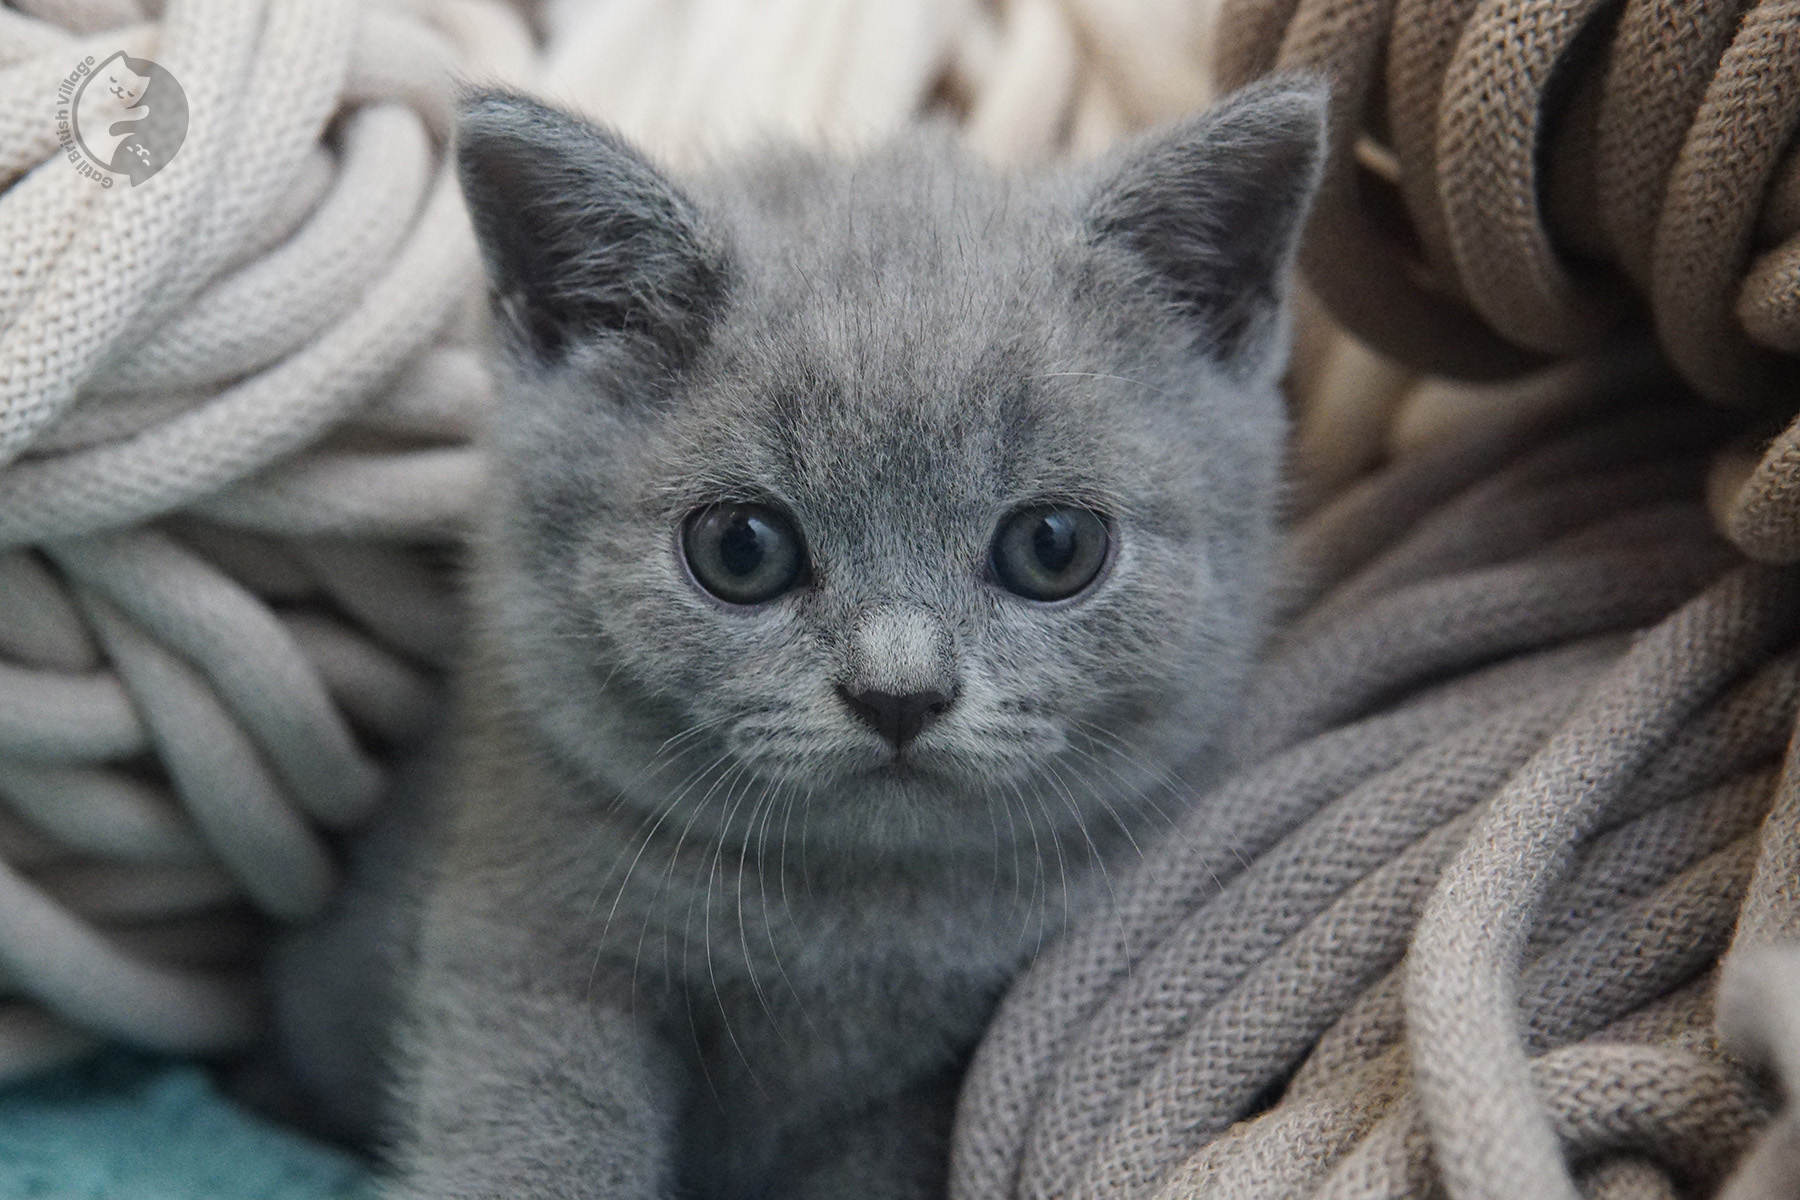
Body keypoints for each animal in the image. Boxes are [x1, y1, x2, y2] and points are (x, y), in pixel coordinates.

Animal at [376, 77, 1324, 1200]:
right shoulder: (530, 941)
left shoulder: (915, 1090)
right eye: (740, 549)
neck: (851, 923)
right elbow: (531, 1126)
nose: (899, 692)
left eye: (1055, 545)